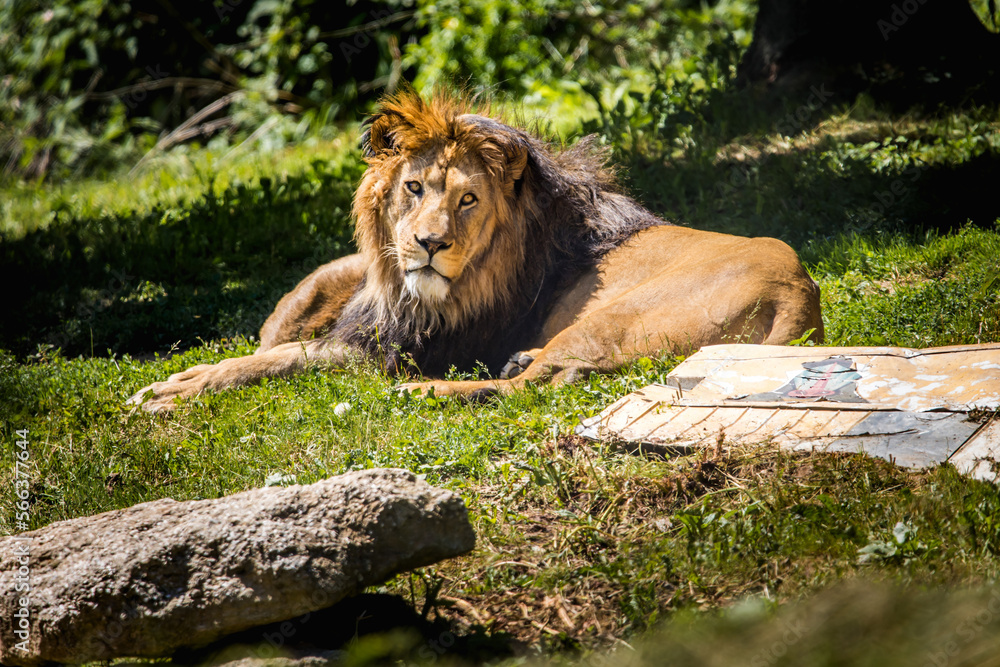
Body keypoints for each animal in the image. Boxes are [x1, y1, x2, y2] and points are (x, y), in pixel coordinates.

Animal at [130, 91, 823, 412]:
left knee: (540, 385)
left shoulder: (395, 351)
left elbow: (275, 361)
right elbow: (289, 325)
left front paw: (176, 386)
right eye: (413, 188)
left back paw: (423, 393)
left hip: (609, 319)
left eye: (468, 200)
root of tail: (800, 291)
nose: (429, 244)